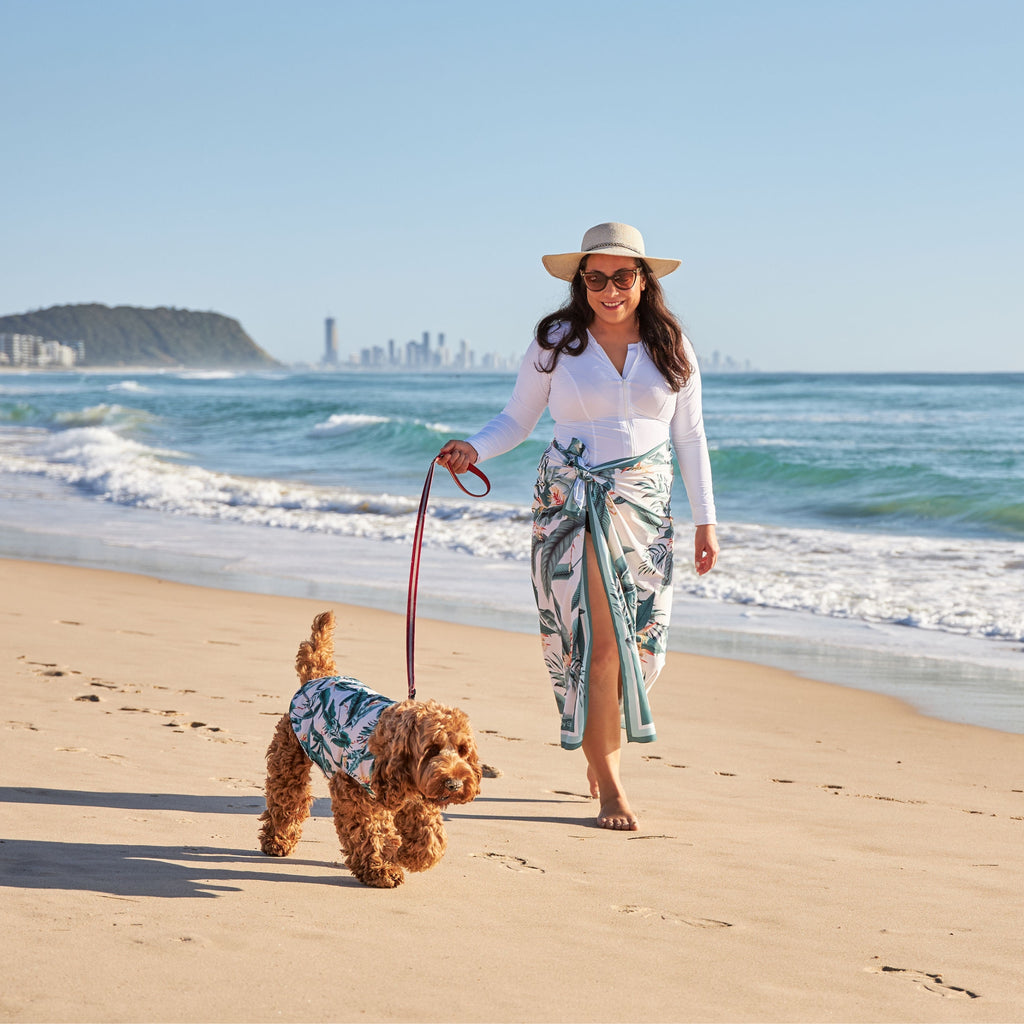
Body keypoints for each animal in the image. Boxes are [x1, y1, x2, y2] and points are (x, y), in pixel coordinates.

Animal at [256, 606, 479, 888]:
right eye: (431, 749)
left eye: (462, 750)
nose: (455, 785)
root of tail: (319, 677)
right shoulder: (353, 791)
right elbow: (369, 831)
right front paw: (381, 868)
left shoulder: (415, 797)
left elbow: (431, 835)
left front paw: (411, 855)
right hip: (290, 758)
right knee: (287, 800)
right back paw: (277, 840)